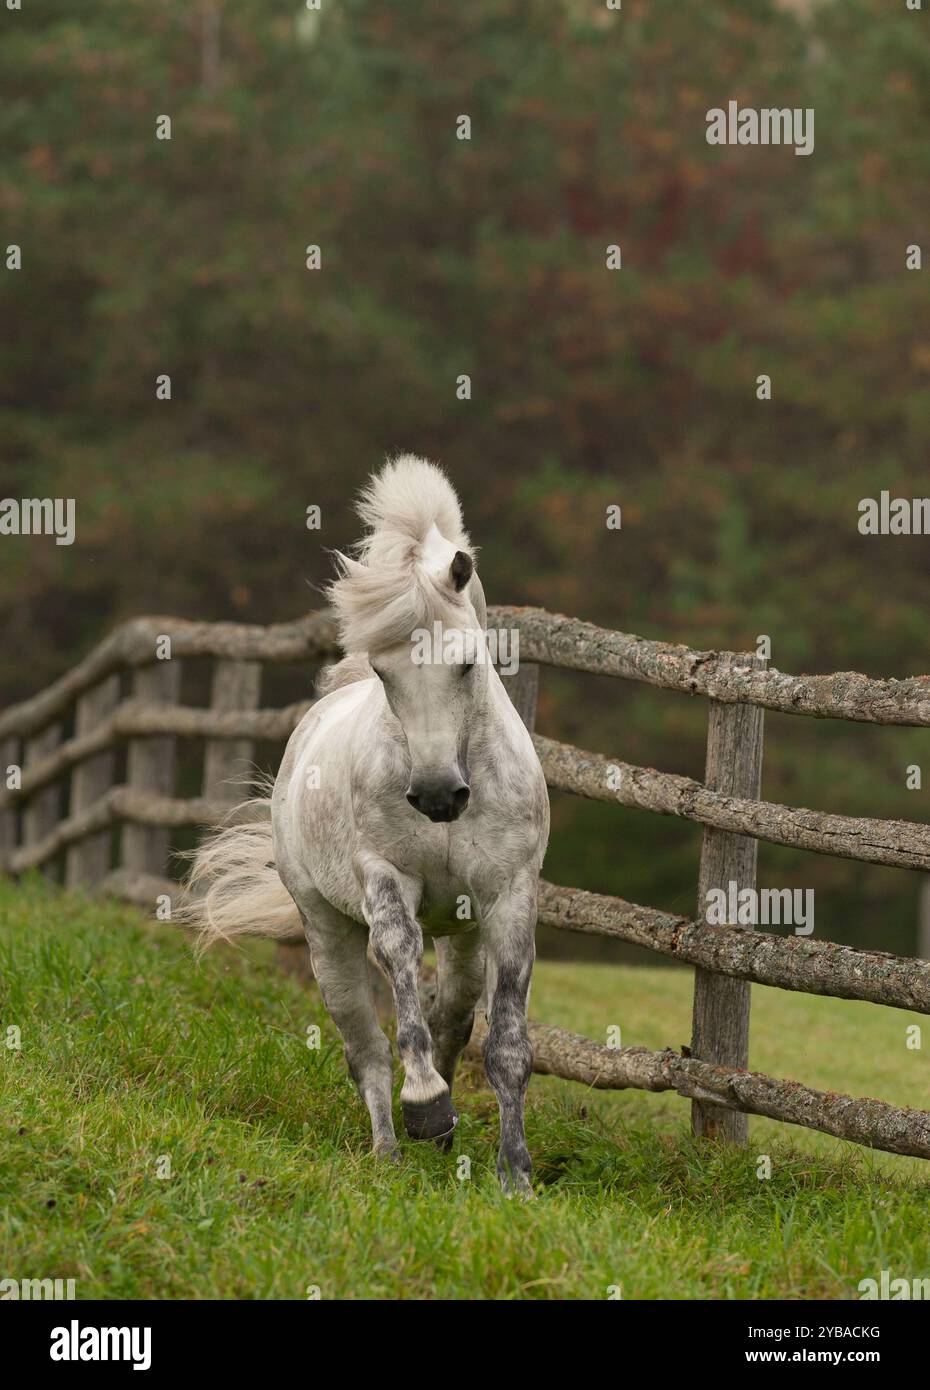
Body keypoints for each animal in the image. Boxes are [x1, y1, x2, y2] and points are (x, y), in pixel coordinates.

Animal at [189, 455, 550, 1195]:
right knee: (366, 1048)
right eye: (386, 672)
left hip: (464, 936)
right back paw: (393, 1147)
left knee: (453, 1015)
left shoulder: (508, 896)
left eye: (466, 661)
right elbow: (400, 967)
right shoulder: (385, 877)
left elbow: (504, 1042)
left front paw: (516, 1178)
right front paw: (427, 1105)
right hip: (327, 937)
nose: (438, 795)